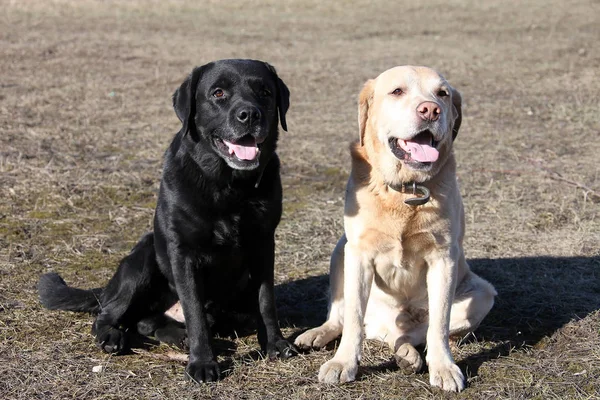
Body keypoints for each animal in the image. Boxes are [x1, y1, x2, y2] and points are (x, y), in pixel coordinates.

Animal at [37, 58, 296, 382]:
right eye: (218, 93)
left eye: (264, 92)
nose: (249, 114)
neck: (228, 185)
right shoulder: (182, 253)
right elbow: (195, 313)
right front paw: (202, 363)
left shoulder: (263, 244)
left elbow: (265, 301)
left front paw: (275, 344)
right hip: (144, 258)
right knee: (109, 314)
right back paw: (114, 336)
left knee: (147, 321)